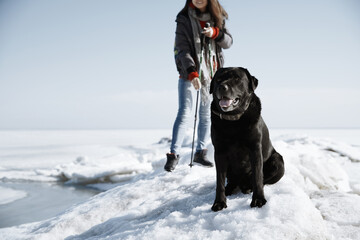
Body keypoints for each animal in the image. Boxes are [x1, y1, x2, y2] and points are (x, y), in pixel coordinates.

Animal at [211, 67, 284, 212]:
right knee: (231, 181)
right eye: (218, 79)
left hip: (278, 160)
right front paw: (219, 202)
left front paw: (258, 199)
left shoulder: (255, 149)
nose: (222, 87)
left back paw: (248, 188)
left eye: (237, 79)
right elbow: (219, 181)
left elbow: (257, 177)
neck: (233, 121)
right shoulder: (219, 152)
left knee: (261, 179)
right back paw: (230, 188)